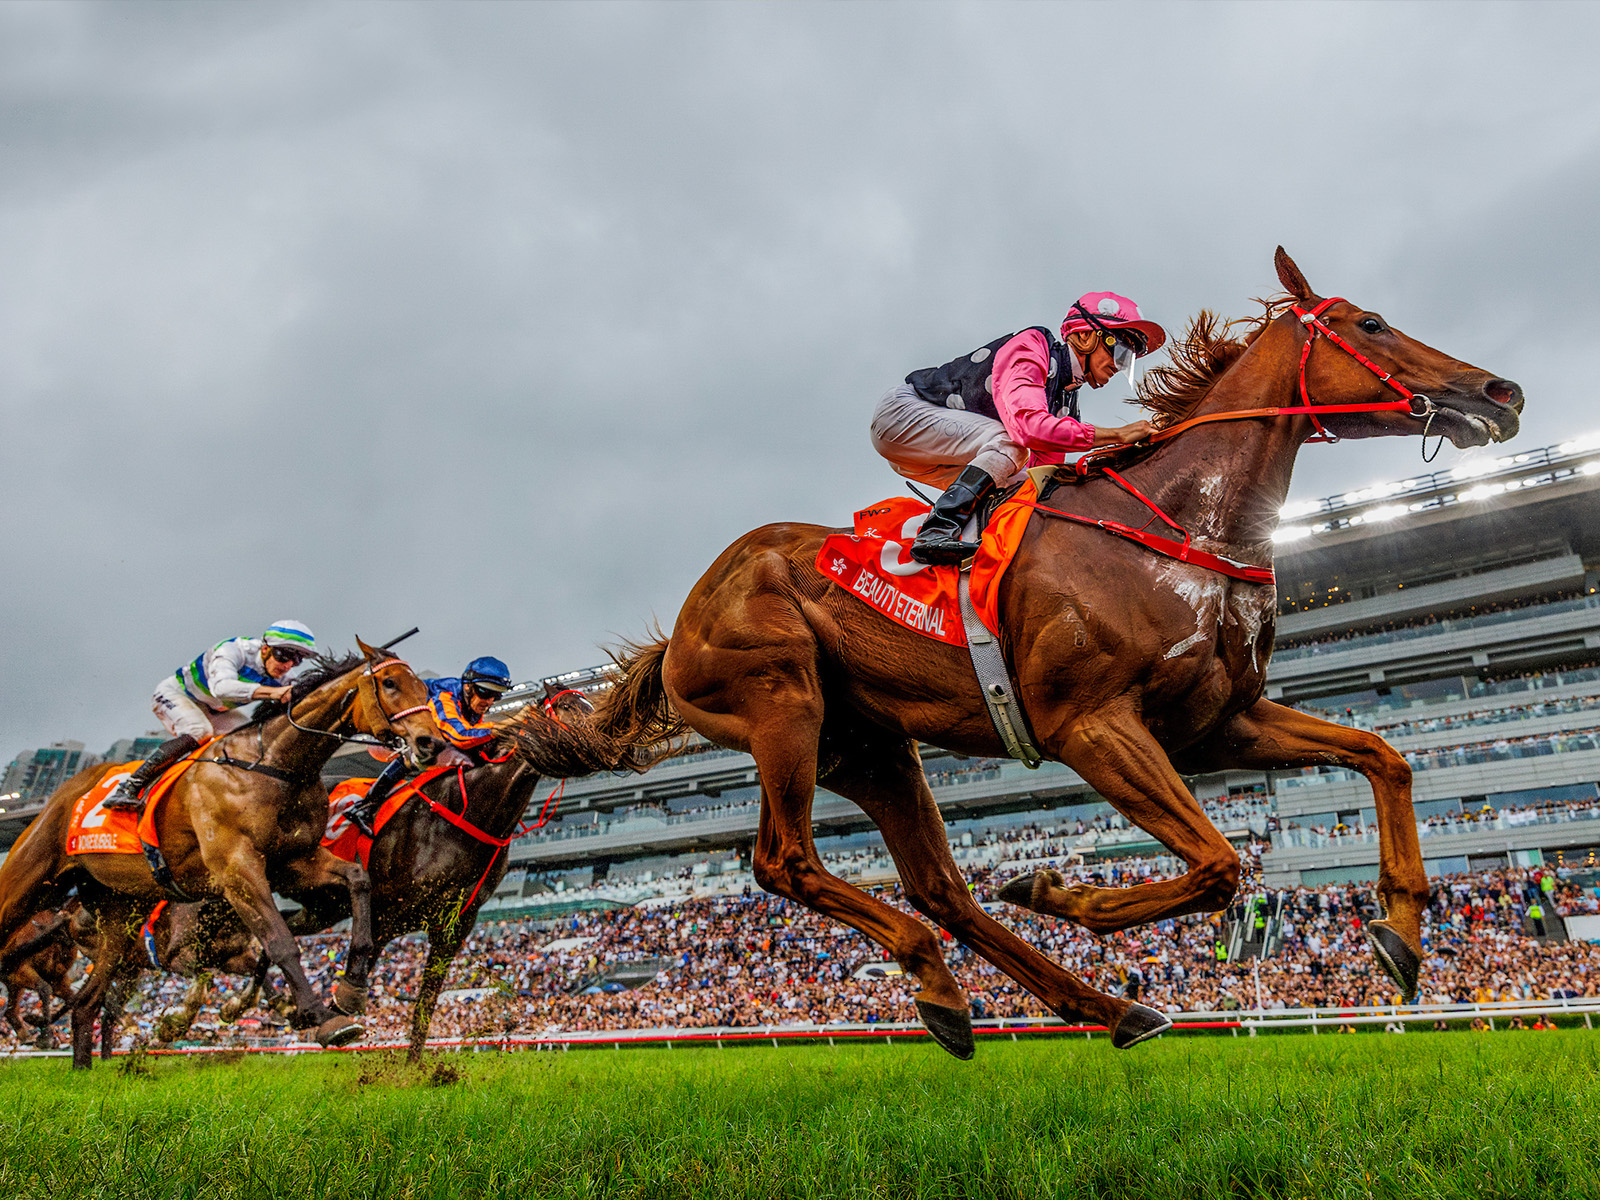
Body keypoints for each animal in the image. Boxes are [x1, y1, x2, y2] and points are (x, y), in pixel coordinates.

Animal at [0, 640, 442, 1066]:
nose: (430, 742)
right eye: (390, 684)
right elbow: (278, 940)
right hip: (29, 883)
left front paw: (350, 990)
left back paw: (81, 1064)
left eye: (424, 689)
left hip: (118, 920)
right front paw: (320, 1017)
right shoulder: (236, 867)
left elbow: (358, 880)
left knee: (86, 1004)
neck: (274, 764)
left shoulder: (292, 861)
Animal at [229, 685, 638, 1060]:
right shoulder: (385, 913)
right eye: (569, 706)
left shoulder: (452, 928)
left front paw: (414, 1070)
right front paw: (339, 1009)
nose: (618, 740)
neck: (468, 813)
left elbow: (425, 1004)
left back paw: (249, 1001)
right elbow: (363, 957)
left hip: (323, 907)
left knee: (278, 930)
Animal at [594, 248, 1523, 1057]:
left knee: (937, 887)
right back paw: (954, 975)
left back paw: (1076, 1005)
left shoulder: (1218, 722)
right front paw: (1053, 888)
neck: (1179, 522)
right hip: (782, 700)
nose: (1501, 390)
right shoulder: (1090, 723)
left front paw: (1400, 934)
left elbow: (1383, 756)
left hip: (862, 744)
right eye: (1370, 323)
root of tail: (678, 628)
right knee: (788, 861)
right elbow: (1219, 864)